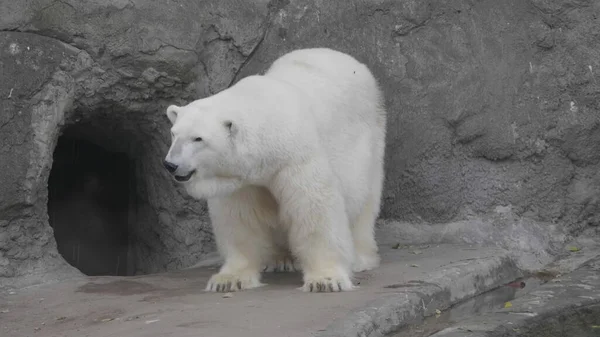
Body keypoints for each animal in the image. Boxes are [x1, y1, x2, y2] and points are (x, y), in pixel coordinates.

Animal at [164, 47, 386, 292]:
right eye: (174, 133)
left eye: (198, 138)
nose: (171, 164)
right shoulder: (243, 180)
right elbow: (240, 219)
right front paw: (228, 280)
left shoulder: (296, 157)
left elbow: (314, 208)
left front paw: (326, 280)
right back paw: (281, 259)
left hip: (370, 137)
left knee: (364, 200)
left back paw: (361, 258)